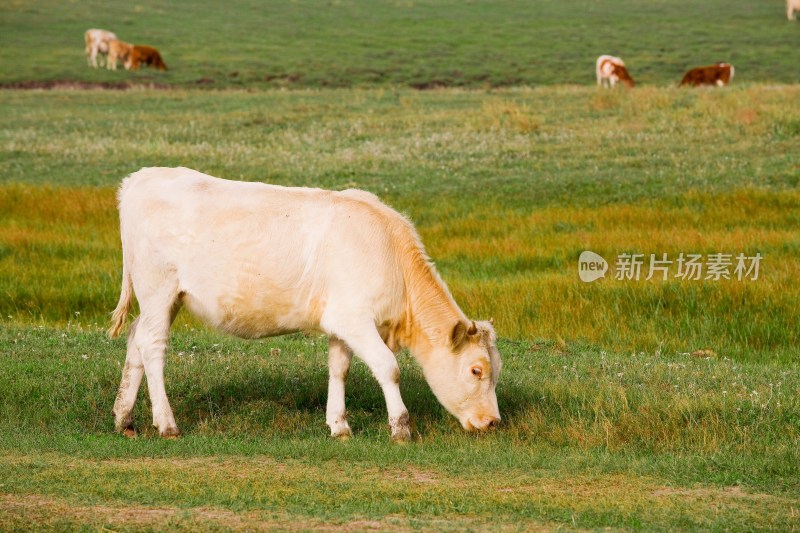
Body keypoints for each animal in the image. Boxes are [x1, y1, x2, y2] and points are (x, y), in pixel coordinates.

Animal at [109, 167, 504, 440]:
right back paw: (167, 424)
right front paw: (401, 428)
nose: (492, 422)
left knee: (136, 340)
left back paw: (125, 419)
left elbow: (339, 369)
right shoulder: (356, 318)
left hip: (164, 299)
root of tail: (140, 178)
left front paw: (339, 425)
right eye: (476, 370)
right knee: (152, 346)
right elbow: (388, 367)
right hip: (158, 289)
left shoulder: (341, 322)